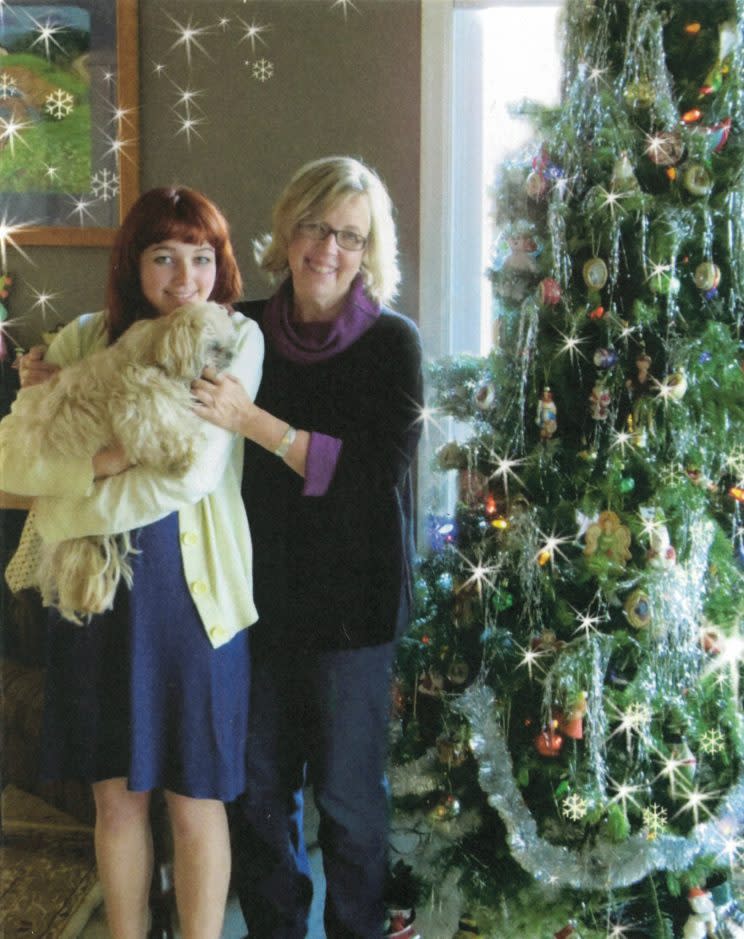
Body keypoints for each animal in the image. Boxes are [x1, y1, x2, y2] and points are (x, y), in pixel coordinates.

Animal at [11, 302, 238, 624]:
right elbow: (163, 431)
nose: (230, 356)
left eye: (229, 345)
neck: (155, 352)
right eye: (216, 347)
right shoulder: (139, 405)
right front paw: (183, 455)